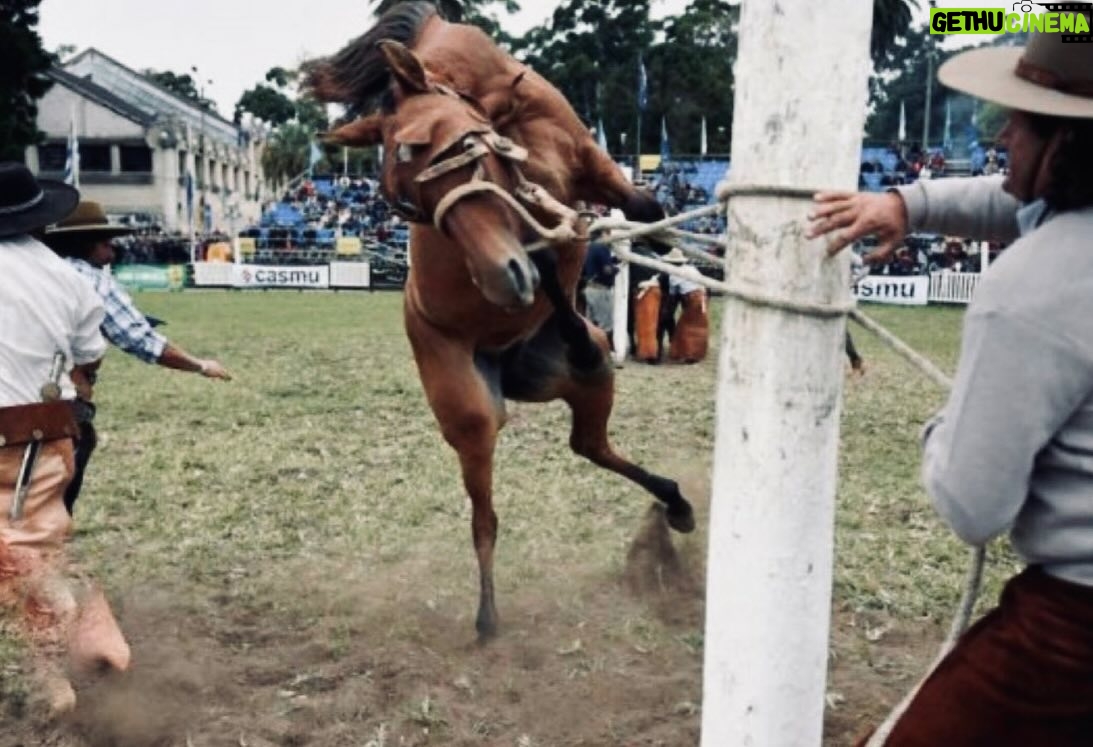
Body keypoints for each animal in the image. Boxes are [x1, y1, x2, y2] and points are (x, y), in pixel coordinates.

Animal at [314, 40, 696, 640]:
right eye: (406, 206)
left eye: (451, 145)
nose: (501, 278)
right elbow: (555, 256)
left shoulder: (588, 166)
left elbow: (639, 208)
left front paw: (660, 239)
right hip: (472, 413)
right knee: (489, 512)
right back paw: (488, 615)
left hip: (577, 385)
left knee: (588, 443)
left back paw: (673, 501)